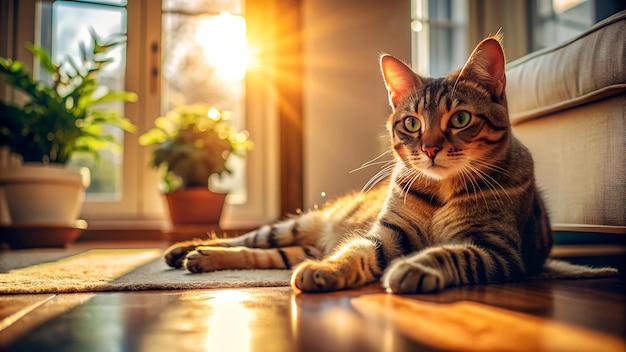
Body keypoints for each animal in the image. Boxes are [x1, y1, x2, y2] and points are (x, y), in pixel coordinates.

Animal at [160, 35, 552, 294]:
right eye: (412, 123)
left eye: (460, 119)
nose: (430, 148)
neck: (441, 192)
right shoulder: (388, 234)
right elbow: (354, 252)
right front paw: (328, 269)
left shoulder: (500, 250)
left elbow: (451, 255)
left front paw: (413, 267)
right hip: (296, 225)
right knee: (248, 238)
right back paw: (185, 250)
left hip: (296, 247)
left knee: (265, 254)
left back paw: (198, 257)